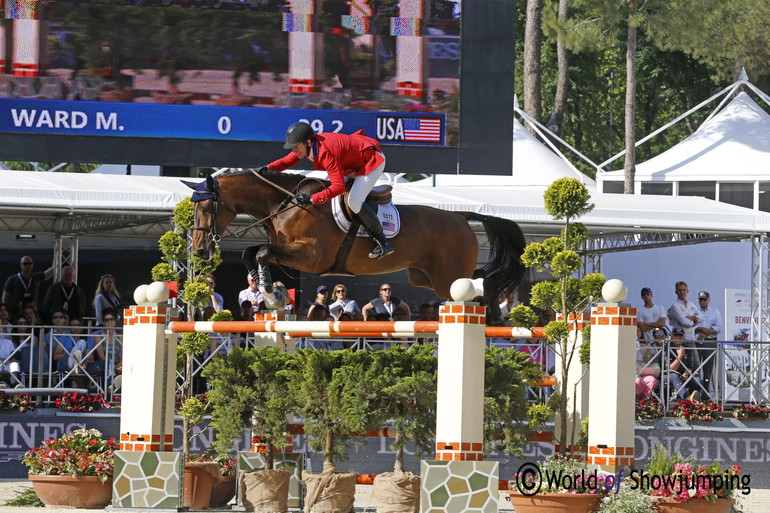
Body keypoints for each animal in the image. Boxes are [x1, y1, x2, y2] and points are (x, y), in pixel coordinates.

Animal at [184, 171, 528, 324]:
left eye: (207, 208)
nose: (200, 251)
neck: (287, 204)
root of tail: (460, 216)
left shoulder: (310, 256)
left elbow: (262, 253)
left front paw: (271, 293)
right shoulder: (286, 248)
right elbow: (251, 253)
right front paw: (271, 293)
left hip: (448, 278)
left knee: (481, 285)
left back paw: (498, 315)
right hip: (423, 276)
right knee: (480, 281)